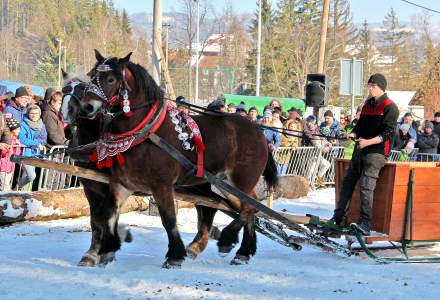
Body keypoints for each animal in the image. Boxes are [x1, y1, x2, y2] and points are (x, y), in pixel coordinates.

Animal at [77, 50, 276, 268]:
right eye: (92, 75)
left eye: (111, 79)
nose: (86, 107)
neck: (145, 133)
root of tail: (259, 132)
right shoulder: (121, 184)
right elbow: (109, 215)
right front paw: (106, 249)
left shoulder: (161, 185)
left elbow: (168, 219)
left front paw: (174, 256)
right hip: (225, 183)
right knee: (245, 208)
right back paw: (243, 251)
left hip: (241, 179)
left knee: (249, 207)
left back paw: (227, 239)